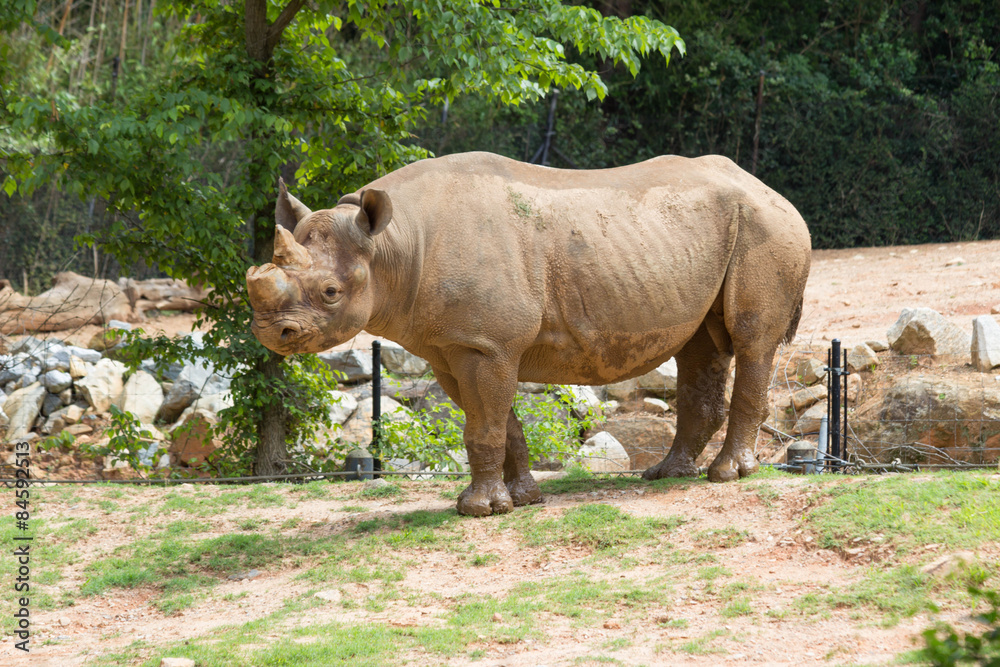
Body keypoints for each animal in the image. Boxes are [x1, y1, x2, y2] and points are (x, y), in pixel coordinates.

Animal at [246, 152, 811, 516]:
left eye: (330, 293)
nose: (273, 333)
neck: (392, 244)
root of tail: (775, 192)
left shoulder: (484, 343)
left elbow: (485, 424)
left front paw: (478, 510)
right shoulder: (452, 346)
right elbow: (499, 422)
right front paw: (522, 500)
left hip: (765, 227)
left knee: (752, 340)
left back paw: (727, 475)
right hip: (699, 237)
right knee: (700, 345)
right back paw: (668, 476)